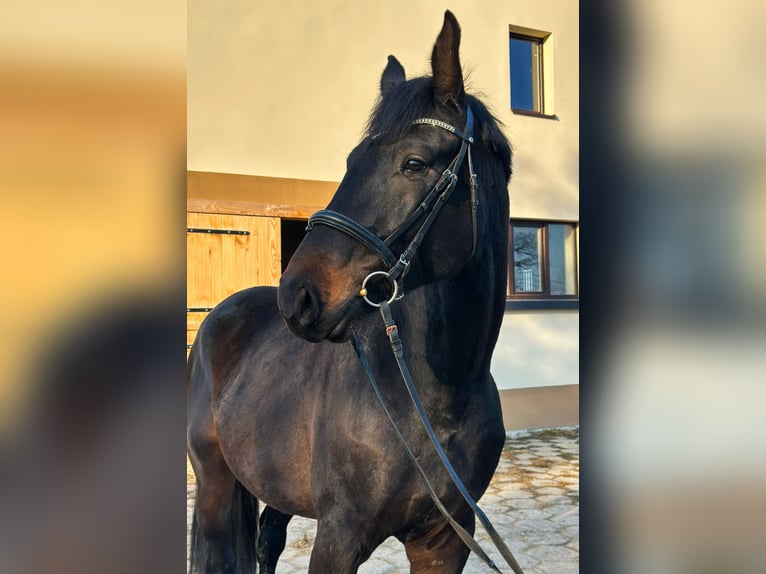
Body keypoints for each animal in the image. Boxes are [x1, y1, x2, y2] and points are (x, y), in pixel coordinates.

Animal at [187, 10, 513, 573]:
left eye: (414, 163)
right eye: (350, 161)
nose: (297, 296)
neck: (431, 398)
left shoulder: (445, 540)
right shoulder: (339, 537)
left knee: (266, 542)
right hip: (213, 483)